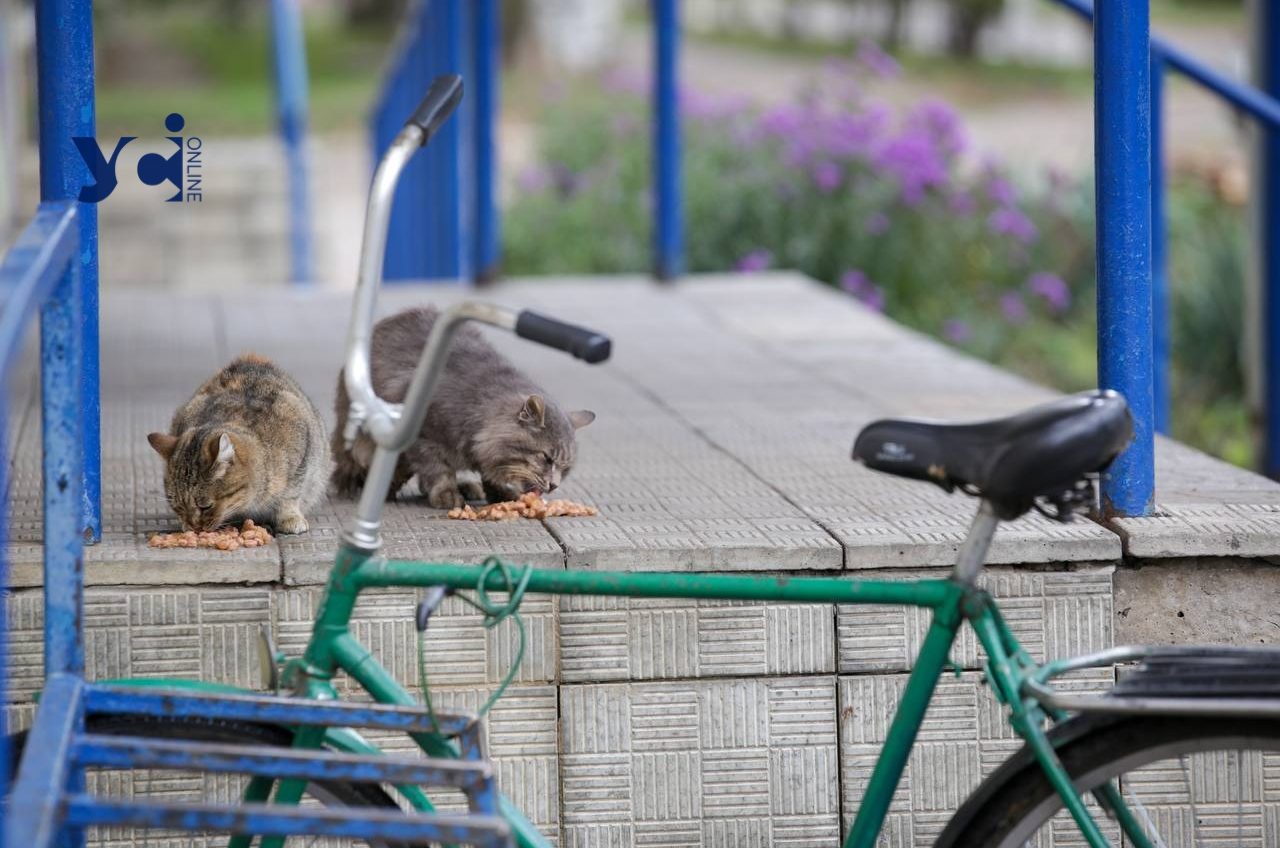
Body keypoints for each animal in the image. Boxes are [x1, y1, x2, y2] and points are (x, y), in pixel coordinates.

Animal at [146, 356, 327, 535]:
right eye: (178, 507)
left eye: (205, 506)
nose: (195, 528)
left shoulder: (303, 453)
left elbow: (290, 494)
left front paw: (290, 517)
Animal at [327, 307, 591, 512]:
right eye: (546, 458)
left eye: (565, 468)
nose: (554, 485)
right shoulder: (423, 438)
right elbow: (438, 471)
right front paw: (447, 494)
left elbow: (487, 474)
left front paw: (499, 493)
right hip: (363, 445)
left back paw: (466, 486)